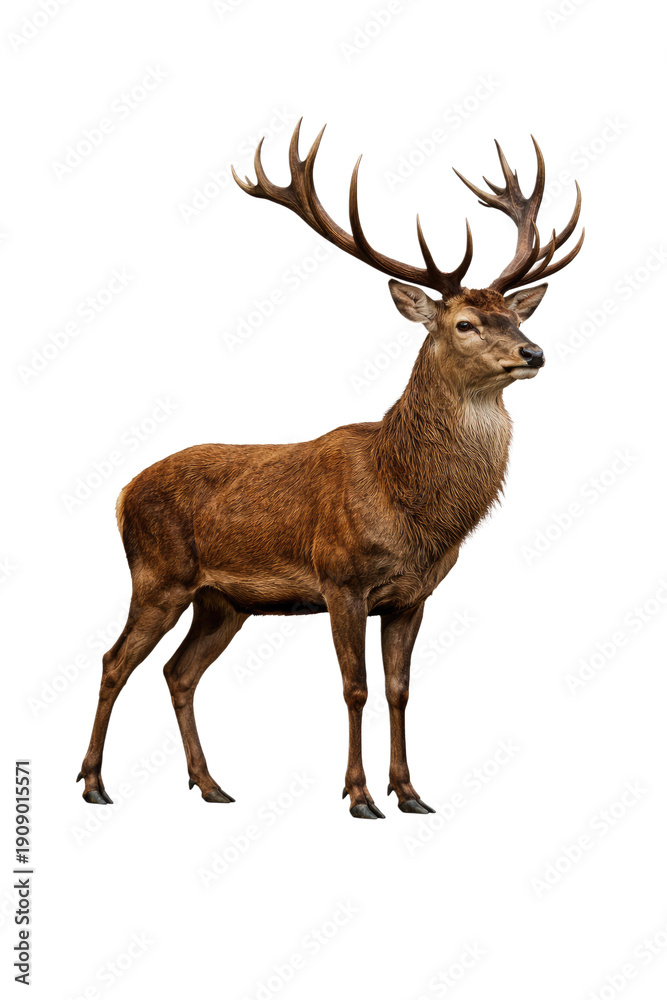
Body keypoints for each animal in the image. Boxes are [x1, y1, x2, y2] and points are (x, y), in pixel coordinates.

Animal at [77, 121, 583, 818]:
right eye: (465, 323)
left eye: (515, 316)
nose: (532, 353)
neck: (410, 502)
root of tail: (122, 492)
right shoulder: (340, 577)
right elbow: (355, 688)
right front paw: (360, 795)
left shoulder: (412, 595)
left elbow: (399, 688)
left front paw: (411, 792)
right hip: (158, 574)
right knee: (112, 660)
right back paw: (94, 783)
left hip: (221, 601)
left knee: (177, 671)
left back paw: (211, 785)